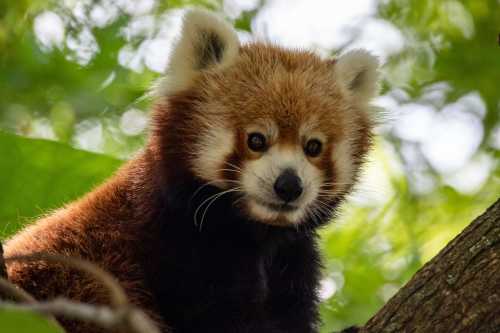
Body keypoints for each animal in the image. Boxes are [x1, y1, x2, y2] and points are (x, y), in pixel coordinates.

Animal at [3, 7, 380, 332]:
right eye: (256, 140)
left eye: (312, 146)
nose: (289, 185)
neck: (254, 233)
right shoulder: (173, 241)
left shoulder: (293, 259)